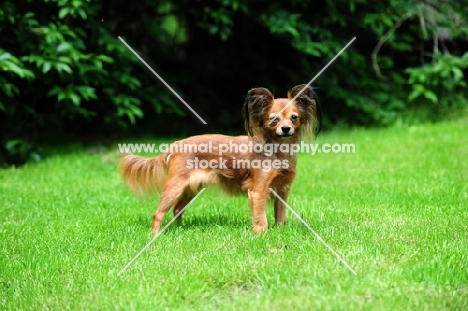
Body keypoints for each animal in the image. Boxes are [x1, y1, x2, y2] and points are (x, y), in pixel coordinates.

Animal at [118, 84, 322, 234]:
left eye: (294, 118)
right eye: (274, 120)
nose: (286, 129)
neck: (277, 149)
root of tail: (176, 144)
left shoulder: (283, 190)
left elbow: (280, 214)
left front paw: (280, 230)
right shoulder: (259, 191)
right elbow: (260, 216)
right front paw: (262, 234)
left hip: (190, 190)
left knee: (177, 209)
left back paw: (179, 229)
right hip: (174, 187)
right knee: (159, 213)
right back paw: (154, 234)